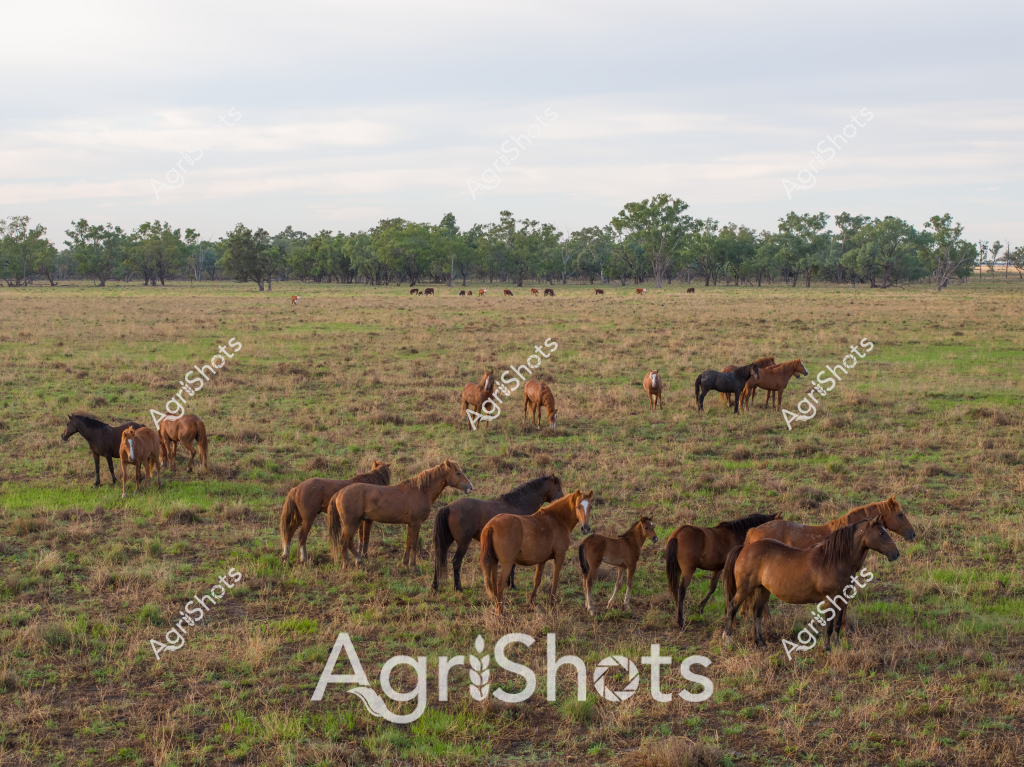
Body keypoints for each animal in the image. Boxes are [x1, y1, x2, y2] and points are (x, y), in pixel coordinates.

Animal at [327, 459, 473, 569]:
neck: (421, 490)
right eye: (458, 473)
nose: (470, 487)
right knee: (344, 541)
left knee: (350, 541)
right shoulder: (416, 523)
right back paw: (346, 565)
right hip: (350, 523)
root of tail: (340, 492)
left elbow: (408, 543)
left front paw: (404, 563)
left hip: (356, 522)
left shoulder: (410, 524)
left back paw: (360, 560)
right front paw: (413, 567)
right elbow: (413, 543)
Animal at [432, 474, 565, 592]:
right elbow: (513, 565)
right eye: (558, 488)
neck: (518, 503)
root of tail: (448, 507)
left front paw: (509, 584)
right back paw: (458, 588)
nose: (563, 501)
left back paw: (435, 586)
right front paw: (511, 585)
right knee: (456, 562)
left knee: (438, 559)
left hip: (447, 541)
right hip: (463, 543)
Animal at [723, 518, 900, 650]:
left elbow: (837, 623)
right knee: (732, 608)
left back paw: (760, 642)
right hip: (744, 589)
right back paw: (728, 639)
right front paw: (827, 647)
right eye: (881, 533)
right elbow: (829, 624)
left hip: (763, 590)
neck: (834, 560)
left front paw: (837, 645)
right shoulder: (830, 599)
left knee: (757, 612)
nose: (896, 553)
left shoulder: (842, 598)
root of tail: (744, 548)